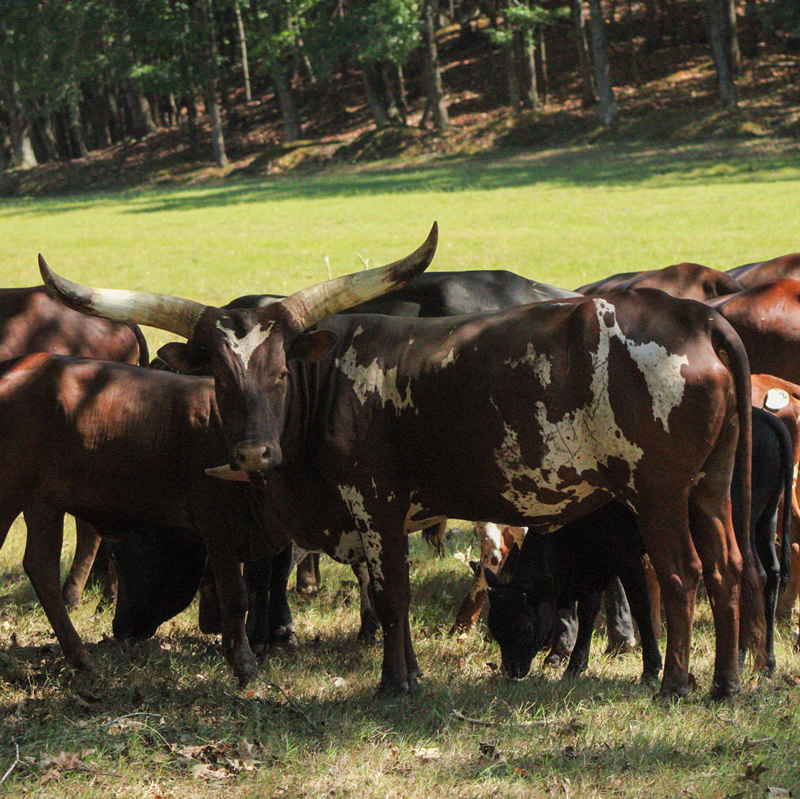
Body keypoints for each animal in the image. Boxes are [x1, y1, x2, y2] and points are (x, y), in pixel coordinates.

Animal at [485, 502, 662, 682]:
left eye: (525, 630)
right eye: (495, 630)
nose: (509, 670)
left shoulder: (627, 555)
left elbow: (640, 606)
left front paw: (651, 668)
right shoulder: (592, 570)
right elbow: (588, 612)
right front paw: (575, 665)